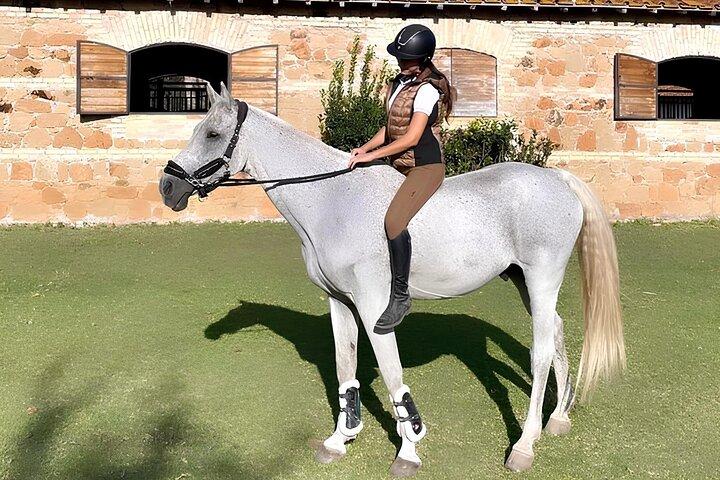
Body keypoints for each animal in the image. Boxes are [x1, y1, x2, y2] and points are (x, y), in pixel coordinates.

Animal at [158, 82, 625, 476]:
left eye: (212, 134)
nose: (167, 188)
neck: (332, 200)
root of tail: (557, 178)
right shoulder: (340, 303)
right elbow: (345, 367)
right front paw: (339, 440)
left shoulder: (373, 308)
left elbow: (392, 374)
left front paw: (409, 450)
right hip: (524, 282)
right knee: (558, 334)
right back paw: (559, 418)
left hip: (543, 278)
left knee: (541, 352)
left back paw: (525, 446)